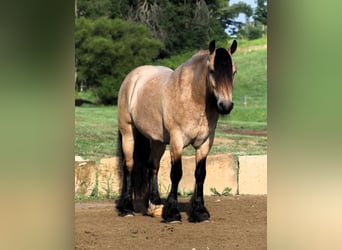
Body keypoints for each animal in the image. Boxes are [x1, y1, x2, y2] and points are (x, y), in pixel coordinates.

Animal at [116, 39, 236, 223]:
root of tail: (132, 77)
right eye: (212, 70)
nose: (226, 105)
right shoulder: (176, 141)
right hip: (128, 133)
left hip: (157, 141)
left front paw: (200, 212)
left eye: (234, 72)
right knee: (129, 165)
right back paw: (127, 208)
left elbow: (200, 174)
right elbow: (176, 173)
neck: (192, 97)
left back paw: (154, 204)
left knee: (153, 166)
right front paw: (172, 213)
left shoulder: (204, 144)